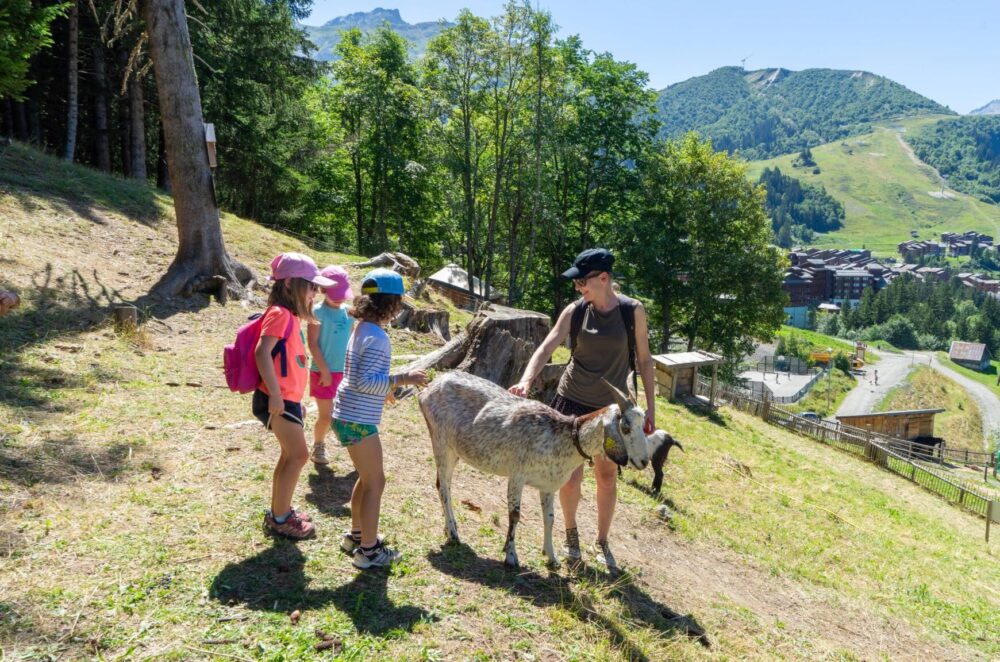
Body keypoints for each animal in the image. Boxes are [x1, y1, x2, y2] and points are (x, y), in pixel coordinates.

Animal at [420, 370, 664, 568]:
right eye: (625, 427)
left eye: (644, 426)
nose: (643, 461)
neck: (562, 437)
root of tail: (429, 388)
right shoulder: (516, 476)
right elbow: (515, 515)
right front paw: (511, 556)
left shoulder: (548, 486)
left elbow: (550, 518)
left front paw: (552, 557)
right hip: (441, 442)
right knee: (443, 487)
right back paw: (453, 534)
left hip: (454, 451)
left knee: (443, 484)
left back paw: (450, 528)